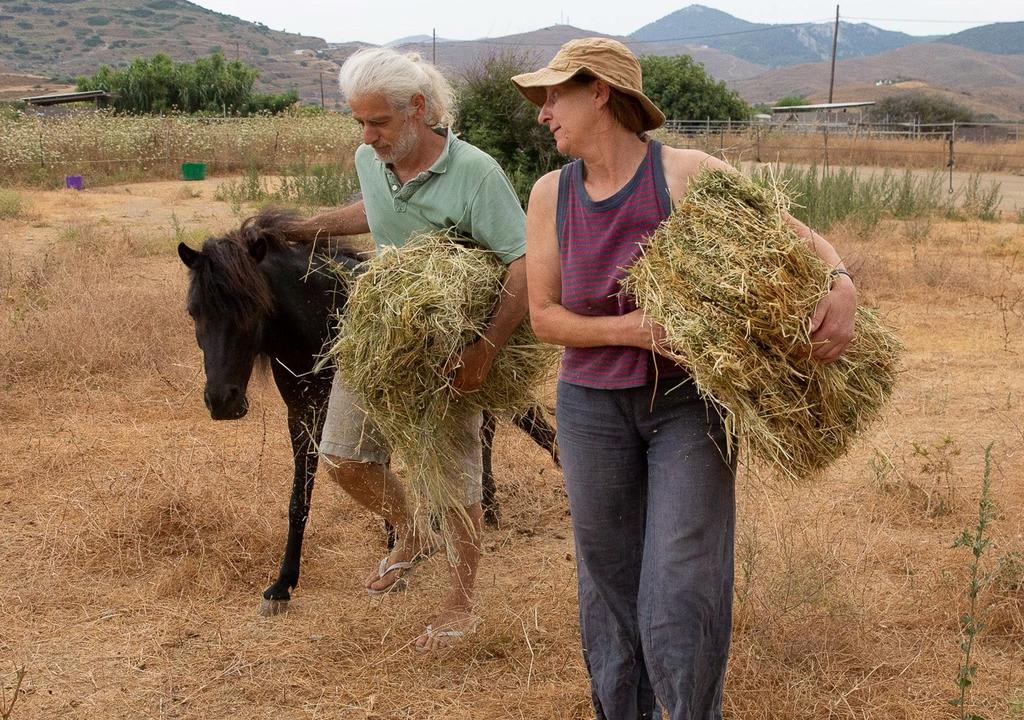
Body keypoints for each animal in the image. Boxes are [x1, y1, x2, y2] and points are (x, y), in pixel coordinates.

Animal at [178, 210, 561, 618]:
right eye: (194, 312)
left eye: (251, 307)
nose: (222, 401)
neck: (320, 321)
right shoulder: (303, 416)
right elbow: (299, 500)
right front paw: (283, 583)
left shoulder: (374, 409)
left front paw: (398, 553)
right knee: (481, 437)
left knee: (525, 428)